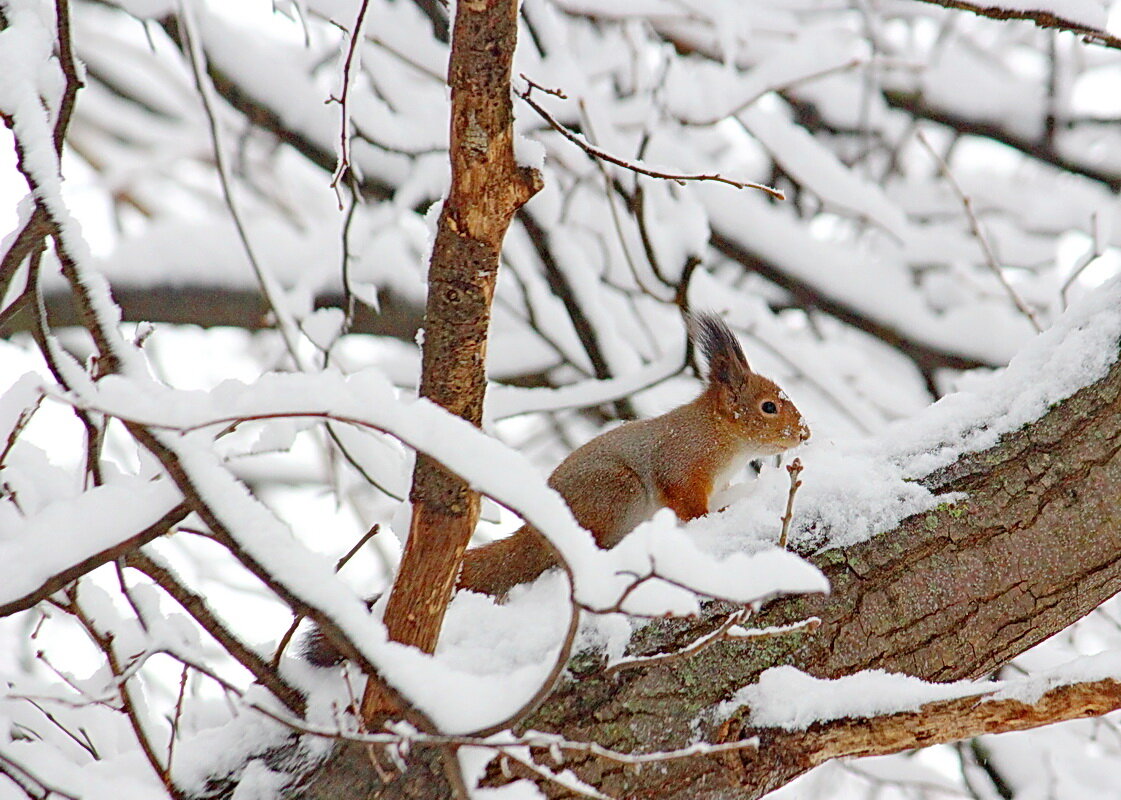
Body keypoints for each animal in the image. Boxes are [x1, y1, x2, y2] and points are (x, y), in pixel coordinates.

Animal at [302, 313, 811, 663]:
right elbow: (688, 504)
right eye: (768, 407)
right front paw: (714, 518)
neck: (720, 435)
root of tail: (535, 537)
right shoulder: (682, 464)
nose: (805, 432)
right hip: (616, 492)